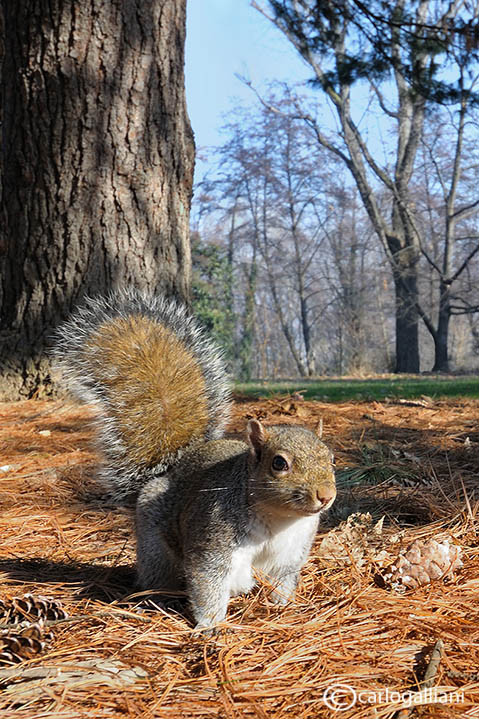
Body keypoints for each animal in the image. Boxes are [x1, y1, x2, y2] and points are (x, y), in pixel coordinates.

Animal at [54, 290, 336, 632]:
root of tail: (175, 465)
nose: (326, 496)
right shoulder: (212, 541)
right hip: (155, 547)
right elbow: (207, 581)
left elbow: (283, 582)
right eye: (279, 463)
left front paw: (283, 609)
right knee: (158, 574)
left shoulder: (290, 554)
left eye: (332, 459)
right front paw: (209, 626)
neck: (278, 520)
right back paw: (158, 599)